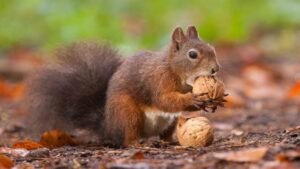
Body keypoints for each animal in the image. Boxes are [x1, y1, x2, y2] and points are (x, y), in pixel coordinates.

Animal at [25, 26, 223, 147]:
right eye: (192, 55)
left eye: (212, 48)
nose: (215, 69)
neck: (175, 72)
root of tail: (108, 126)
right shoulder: (157, 81)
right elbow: (164, 100)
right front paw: (193, 98)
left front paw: (214, 101)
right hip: (126, 111)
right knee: (128, 136)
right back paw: (137, 144)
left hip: (170, 122)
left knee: (165, 133)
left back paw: (170, 141)